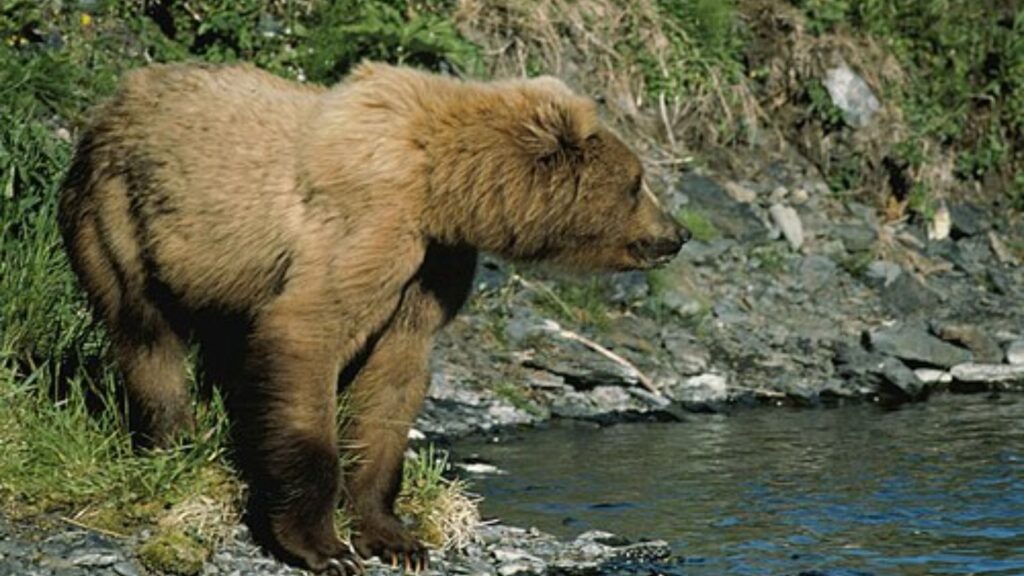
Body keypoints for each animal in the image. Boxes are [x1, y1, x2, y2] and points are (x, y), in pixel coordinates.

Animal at [58, 61, 688, 574]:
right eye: (637, 183)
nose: (678, 233)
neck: (444, 191)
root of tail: (110, 102)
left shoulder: (433, 265)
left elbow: (393, 379)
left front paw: (393, 537)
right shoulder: (372, 228)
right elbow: (309, 333)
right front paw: (324, 547)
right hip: (120, 218)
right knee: (147, 337)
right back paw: (174, 440)